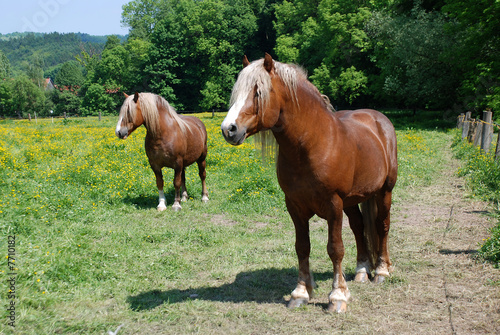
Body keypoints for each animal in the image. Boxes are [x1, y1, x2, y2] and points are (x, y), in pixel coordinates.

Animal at [221, 53, 396, 314]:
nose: (228, 129)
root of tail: (379, 119)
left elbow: (335, 249)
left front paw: (337, 296)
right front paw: (301, 293)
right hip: (352, 201)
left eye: (258, 92)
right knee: (358, 227)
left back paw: (382, 271)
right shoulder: (294, 206)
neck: (314, 144)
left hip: (384, 191)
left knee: (382, 226)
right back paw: (362, 270)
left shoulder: (334, 205)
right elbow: (302, 247)